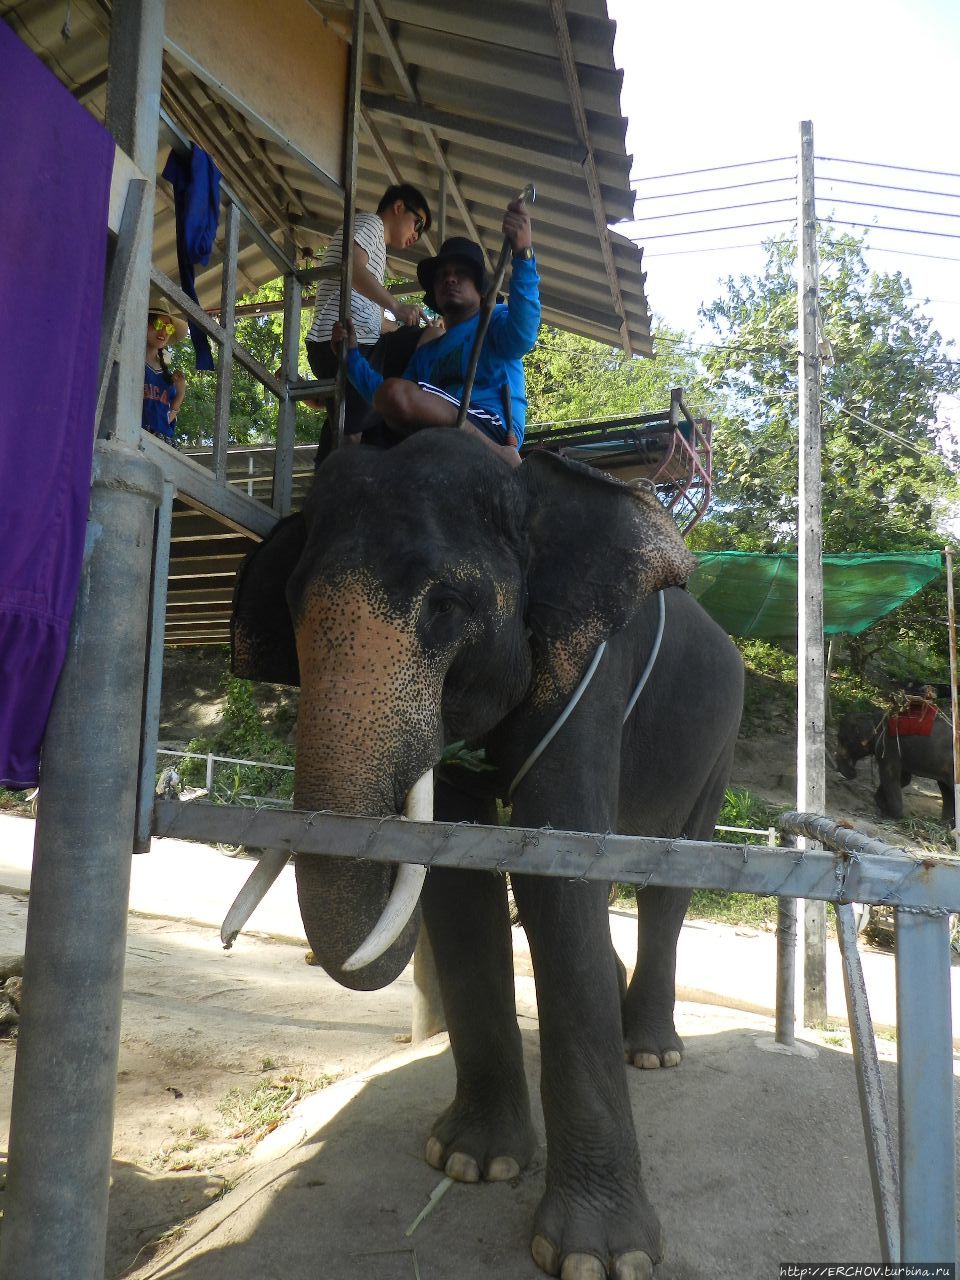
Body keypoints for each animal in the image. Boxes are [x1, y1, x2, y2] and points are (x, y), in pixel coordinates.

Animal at [231, 432, 742, 1280]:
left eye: (446, 607)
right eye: (294, 604)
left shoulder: (593, 667)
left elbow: (556, 872)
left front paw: (598, 1258)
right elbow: (460, 873)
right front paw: (469, 1163)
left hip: (716, 751)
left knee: (669, 882)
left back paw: (652, 1054)